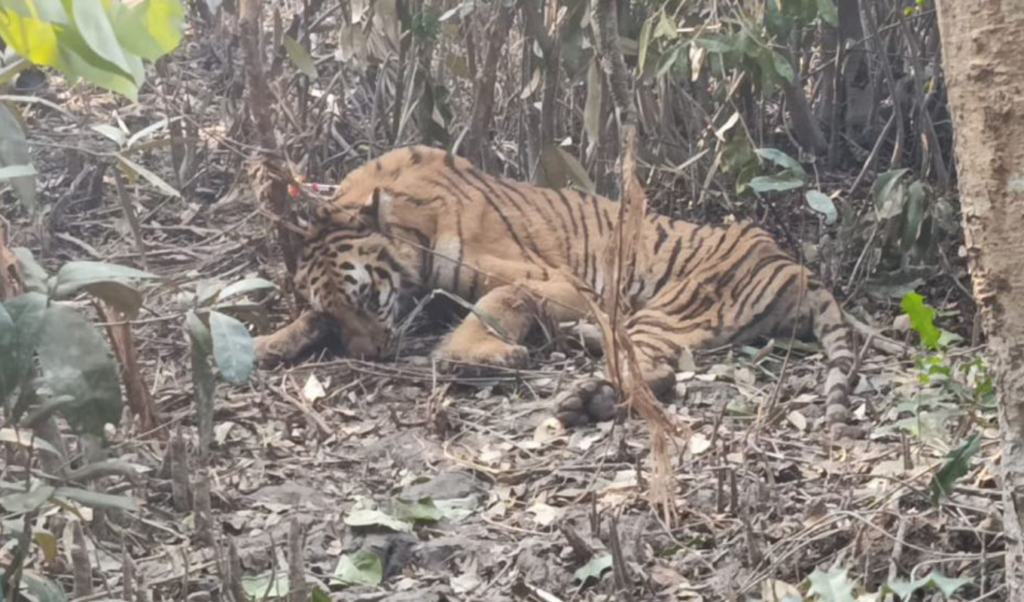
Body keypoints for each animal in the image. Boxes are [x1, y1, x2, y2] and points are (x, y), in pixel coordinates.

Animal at [254, 145, 857, 427]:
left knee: (651, 370)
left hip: (672, 306)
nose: (368, 357)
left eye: (365, 297)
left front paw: (472, 356)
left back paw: (586, 392)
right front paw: (264, 343)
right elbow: (301, 321)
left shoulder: (556, 280)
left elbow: (496, 303)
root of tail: (794, 265)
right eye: (334, 313)